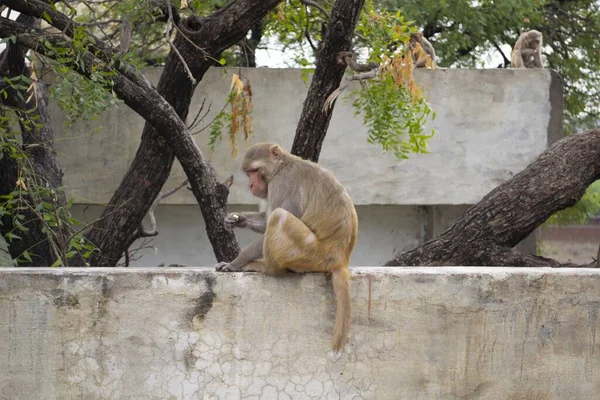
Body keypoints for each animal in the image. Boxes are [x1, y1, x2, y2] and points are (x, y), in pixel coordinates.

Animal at [214, 144, 358, 354]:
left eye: (254, 171)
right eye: (248, 173)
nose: (251, 185)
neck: (282, 165)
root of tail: (340, 260)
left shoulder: (281, 184)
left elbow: (273, 217)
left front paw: (235, 263)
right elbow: (265, 220)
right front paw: (237, 219)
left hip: (309, 252)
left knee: (280, 216)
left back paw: (266, 267)